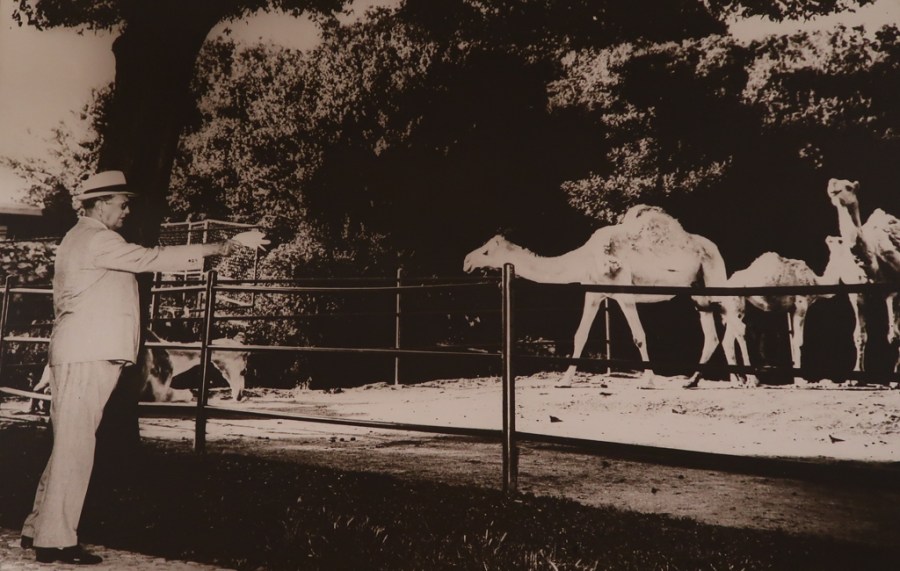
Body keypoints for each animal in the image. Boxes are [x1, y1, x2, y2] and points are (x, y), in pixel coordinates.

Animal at [463, 205, 731, 387]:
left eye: (486, 251)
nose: (466, 261)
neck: (585, 258)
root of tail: (715, 247)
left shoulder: (624, 292)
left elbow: (639, 336)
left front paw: (648, 380)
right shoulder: (593, 293)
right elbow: (579, 335)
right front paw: (564, 380)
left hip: (714, 276)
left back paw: (737, 380)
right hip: (697, 291)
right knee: (711, 335)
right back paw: (692, 380)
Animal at [720, 236, 866, 384]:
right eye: (841, 241)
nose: (856, 255)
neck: (815, 281)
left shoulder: (791, 309)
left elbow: (793, 340)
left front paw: (796, 378)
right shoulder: (801, 304)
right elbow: (799, 341)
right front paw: (801, 379)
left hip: (735, 308)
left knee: (728, 340)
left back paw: (737, 379)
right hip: (736, 303)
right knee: (740, 332)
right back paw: (752, 379)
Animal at [828, 178, 900, 372]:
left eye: (848, 187)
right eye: (830, 185)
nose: (833, 190)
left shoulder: (892, 292)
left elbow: (894, 335)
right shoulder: (858, 294)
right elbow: (859, 335)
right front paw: (857, 372)